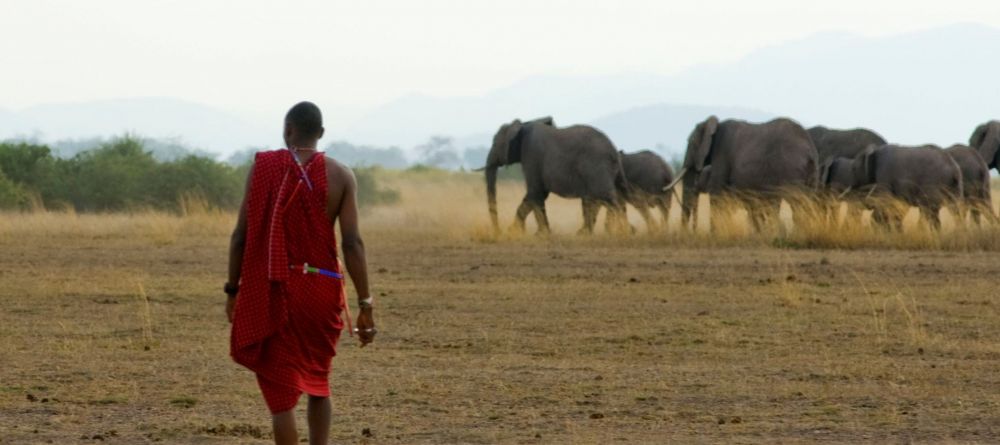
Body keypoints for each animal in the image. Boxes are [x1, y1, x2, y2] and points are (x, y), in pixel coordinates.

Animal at [482, 116, 624, 234]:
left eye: (495, 143)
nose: (498, 231)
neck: (523, 125)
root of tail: (614, 151)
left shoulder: (531, 155)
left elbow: (535, 192)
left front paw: (540, 234)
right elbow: (538, 194)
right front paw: (515, 231)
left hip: (596, 166)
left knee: (606, 197)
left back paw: (617, 231)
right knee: (596, 199)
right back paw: (585, 233)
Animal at [664, 116, 820, 231]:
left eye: (690, 142)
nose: (690, 232)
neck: (714, 125)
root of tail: (809, 150)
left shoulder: (722, 155)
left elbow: (716, 194)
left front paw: (716, 235)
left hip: (790, 167)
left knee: (797, 203)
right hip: (811, 173)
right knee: (806, 204)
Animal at [820, 145, 960, 229]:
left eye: (854, 169)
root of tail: (954, 167)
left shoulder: (883, 176)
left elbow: (883, 206)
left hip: (933, 184)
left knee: (928, 211)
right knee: (952, 210)